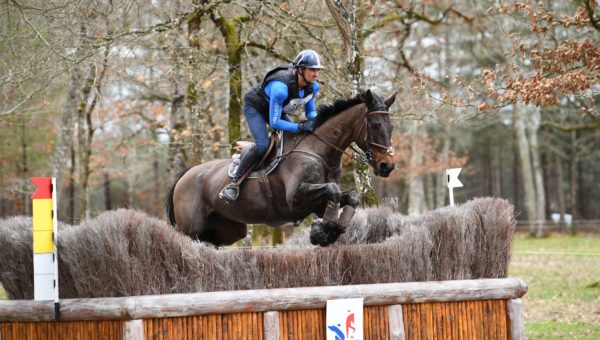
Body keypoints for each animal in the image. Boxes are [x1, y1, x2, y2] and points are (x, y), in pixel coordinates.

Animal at [166, 89, 396, 246]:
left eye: (391, 127)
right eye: (375, 125)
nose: (387, 166)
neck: (317, 150)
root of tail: (185, 175)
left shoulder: (319, 204)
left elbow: (349, 196)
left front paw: (331, 230)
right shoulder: (295, 199)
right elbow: (333, 189)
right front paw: (321, 232)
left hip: (227, 230)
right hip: (190, 229)